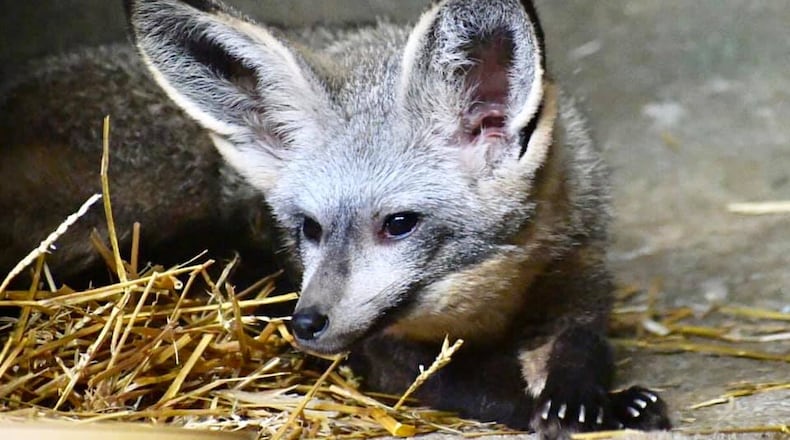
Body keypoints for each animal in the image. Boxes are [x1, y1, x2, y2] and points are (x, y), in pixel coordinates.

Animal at [0, 0, 672, 437]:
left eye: (398, 224)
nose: (305, 323)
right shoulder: (391, 357)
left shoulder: (579, 278)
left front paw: (587, 397)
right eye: (310, 229)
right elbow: (482, 390)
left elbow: (583, 347)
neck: (490, 307)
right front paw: (565, 412)